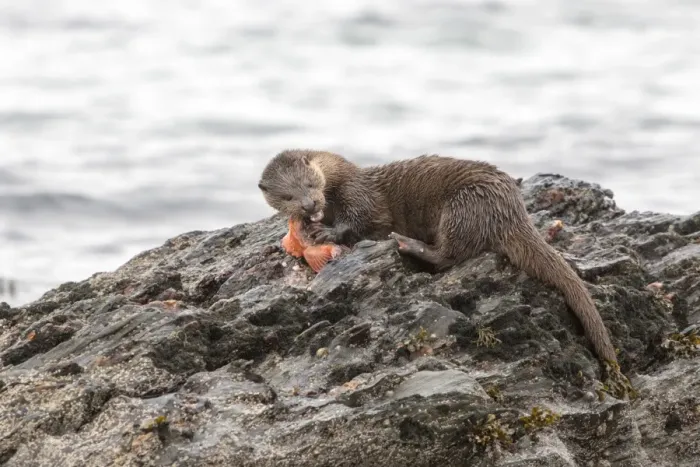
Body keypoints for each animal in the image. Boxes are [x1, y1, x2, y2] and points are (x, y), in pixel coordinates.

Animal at [258, 149, 618, 364]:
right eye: (288, 196)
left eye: (310, 183)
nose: (310, 205)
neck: (339, 180)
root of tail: (513, 210)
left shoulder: (360, 195)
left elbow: (360, 219)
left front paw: (328, 234)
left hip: (461, 207)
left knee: (449, 255)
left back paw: (407, 244)